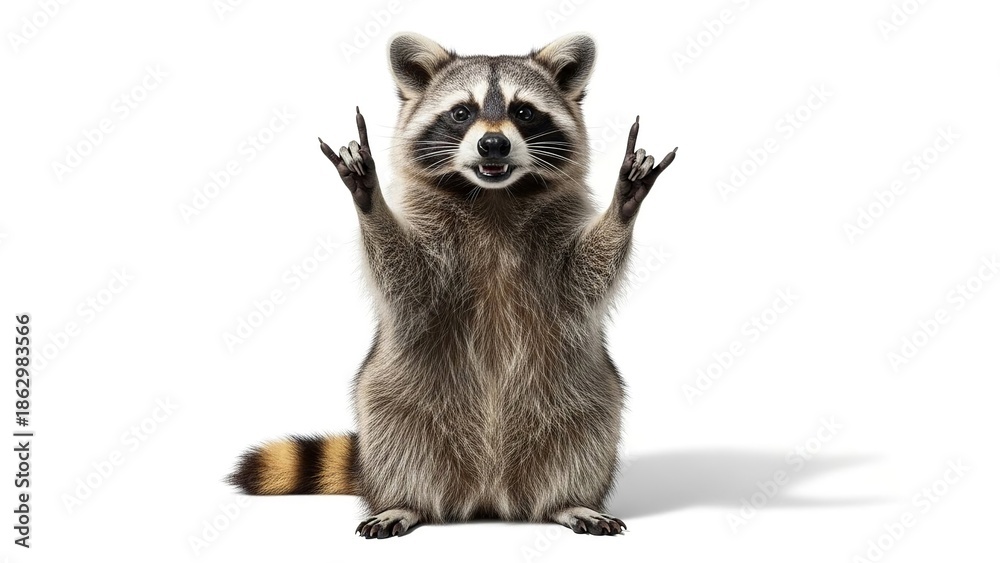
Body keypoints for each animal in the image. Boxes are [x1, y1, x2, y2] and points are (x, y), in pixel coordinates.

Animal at [229, 32, 676, 539]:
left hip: (582, 391)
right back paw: (405, 501)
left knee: (585, 435)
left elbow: (586, 275)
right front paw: (370, 200)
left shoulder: (557, 254)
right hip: (392, 392)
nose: (493, 144)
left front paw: (623, 204)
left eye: (524, 112)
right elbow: (405, 276)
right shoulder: (431, 256)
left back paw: (567, 501)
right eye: (461, 112)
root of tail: (489, 495)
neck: (495, 197)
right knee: (396, 438)